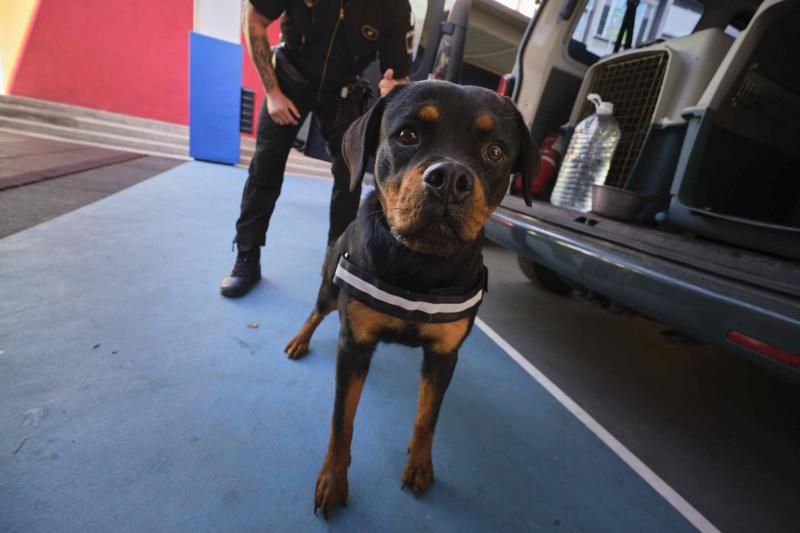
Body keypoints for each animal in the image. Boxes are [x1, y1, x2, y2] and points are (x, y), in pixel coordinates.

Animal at [282, 80, 536, 516]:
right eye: (407, 135)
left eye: (496, 151)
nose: (450, 177)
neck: (419, 263)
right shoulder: (355, 343)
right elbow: (341, 420)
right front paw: (333, 479)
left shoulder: (444, 355)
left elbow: (427, 416)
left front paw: (419, 465)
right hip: (331, 286)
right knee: (317, 311)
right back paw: (300, 339)